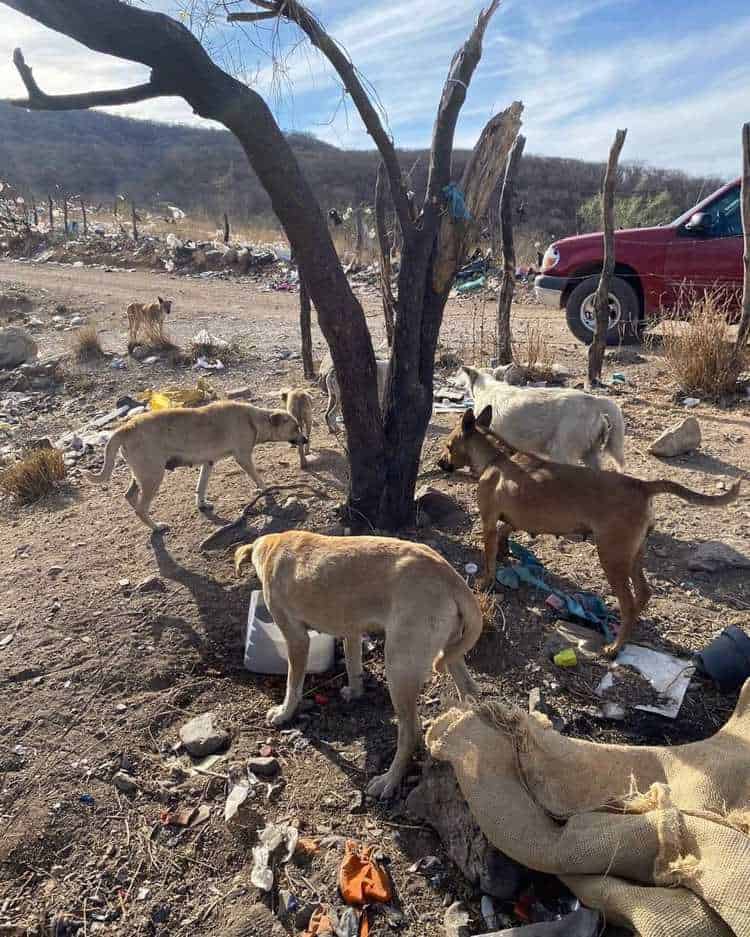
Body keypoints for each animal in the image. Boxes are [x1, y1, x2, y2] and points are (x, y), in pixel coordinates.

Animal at [83, 400, 304, 532]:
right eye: (295, 427)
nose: (306, 439)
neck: (253, 420)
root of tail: (127, 426)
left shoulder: (208, 462)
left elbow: (201, 486)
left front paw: (202, 504)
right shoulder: (243, 458)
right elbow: (258, 477)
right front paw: (267, 489)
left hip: (143, 475)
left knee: (129, 496)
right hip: (153, 477)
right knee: (141, 508)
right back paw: (156, 527)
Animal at [235, 532, 482, 796]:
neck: (274, 546)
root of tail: (448, 575)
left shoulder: (297, 638)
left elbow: (293, 684)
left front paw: (284, 712)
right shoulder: (351, 630)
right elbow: (353, 666)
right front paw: (355, 692)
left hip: (399, 667)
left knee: (411, 732)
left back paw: (389, 780)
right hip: (451, 651)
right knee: (470, 692)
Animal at [438, 406, 744, 656]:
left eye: (448, 445)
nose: (440, 464)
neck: (497, 458)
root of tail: (642, 486)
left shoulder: (488, 521)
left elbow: (489, 555)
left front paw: (486, 579)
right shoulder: (516, 518)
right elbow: (505, 532)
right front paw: (504, 553)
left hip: (611, 557)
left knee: (629, 602)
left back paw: (615, 646)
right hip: (632, 554)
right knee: (643, 593)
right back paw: (628, 627)